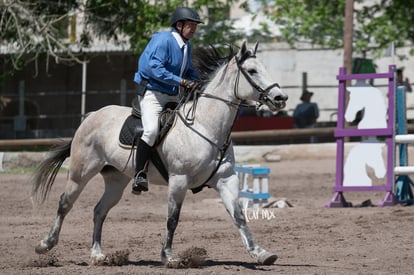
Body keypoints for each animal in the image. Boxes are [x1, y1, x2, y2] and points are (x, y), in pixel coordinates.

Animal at [30, 41, 288, 268]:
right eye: (252, 71)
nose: (280, 98)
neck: (206, 126)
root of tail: (93, 115)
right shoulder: (179, 180)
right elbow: (172, 219)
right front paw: (169, 257)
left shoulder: (226, 179)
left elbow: (239, 215)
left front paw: (260, 253)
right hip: (80, 173)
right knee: (65, 204)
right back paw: (45, 244)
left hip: (116, 179)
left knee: (99, 211)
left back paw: (97, 255)